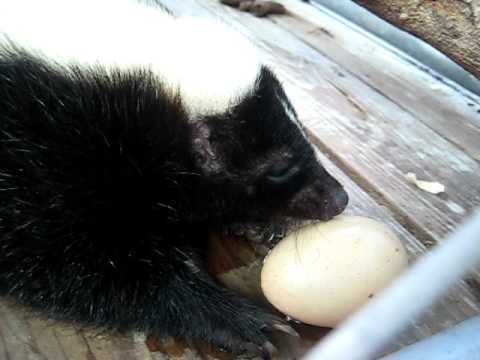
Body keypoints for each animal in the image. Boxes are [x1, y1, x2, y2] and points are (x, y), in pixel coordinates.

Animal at [0, 0, 346, 354]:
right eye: (278, 168)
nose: (338, 198)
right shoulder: (37, 170)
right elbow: (71, 263)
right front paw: (232, 318)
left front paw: (257, 226)